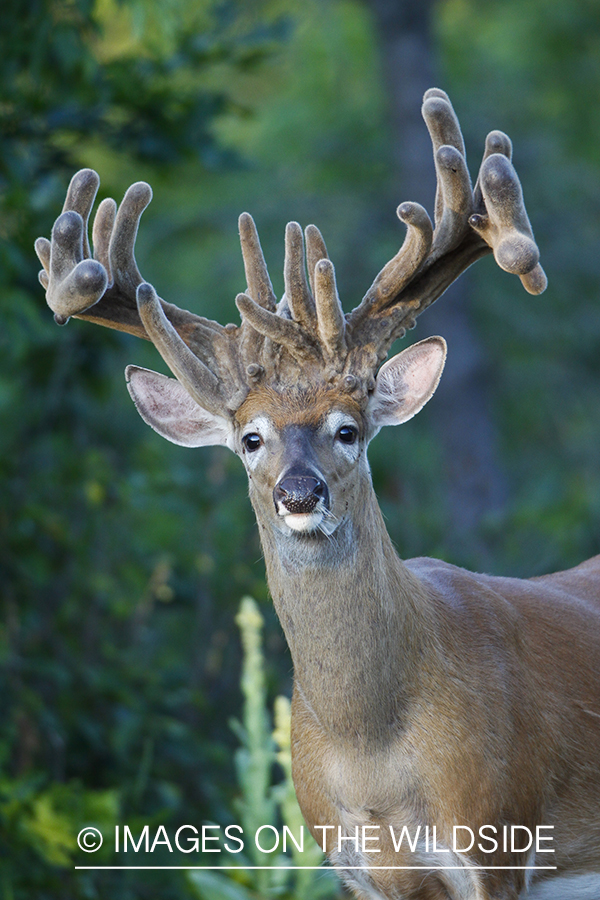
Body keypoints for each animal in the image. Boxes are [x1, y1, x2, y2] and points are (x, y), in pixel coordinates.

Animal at [37, 86, 600, 900]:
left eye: (348, 429)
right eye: (251, 438)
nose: (299, 495)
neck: (372, 752)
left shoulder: (499, 838)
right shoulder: (353, 865)